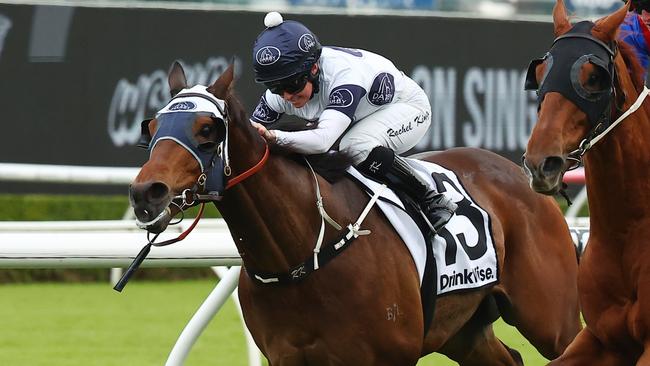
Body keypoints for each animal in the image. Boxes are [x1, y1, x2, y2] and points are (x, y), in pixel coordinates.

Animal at [130, 61, 576, 364]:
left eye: (207, 129)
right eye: (151, 128)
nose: (145, 193)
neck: (301, 256)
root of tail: (521, 175)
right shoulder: (287, 356)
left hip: (551, 322)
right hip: (462, 331)